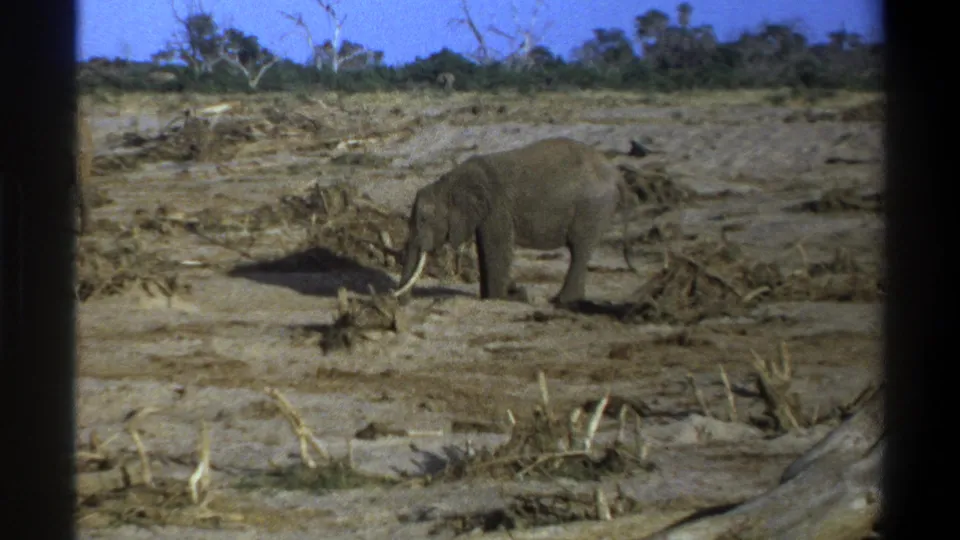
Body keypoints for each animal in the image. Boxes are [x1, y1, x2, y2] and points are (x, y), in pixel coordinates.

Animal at [391, 137, 640, 305]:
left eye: (424, 219)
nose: (401, 301)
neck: (448, 182)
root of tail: (617, 175)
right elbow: (485, 248)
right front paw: (499, 295)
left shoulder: (497, 207)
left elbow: (497, 247)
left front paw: (501, 298)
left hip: (592, 208)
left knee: (579, 249)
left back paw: (561, 301)